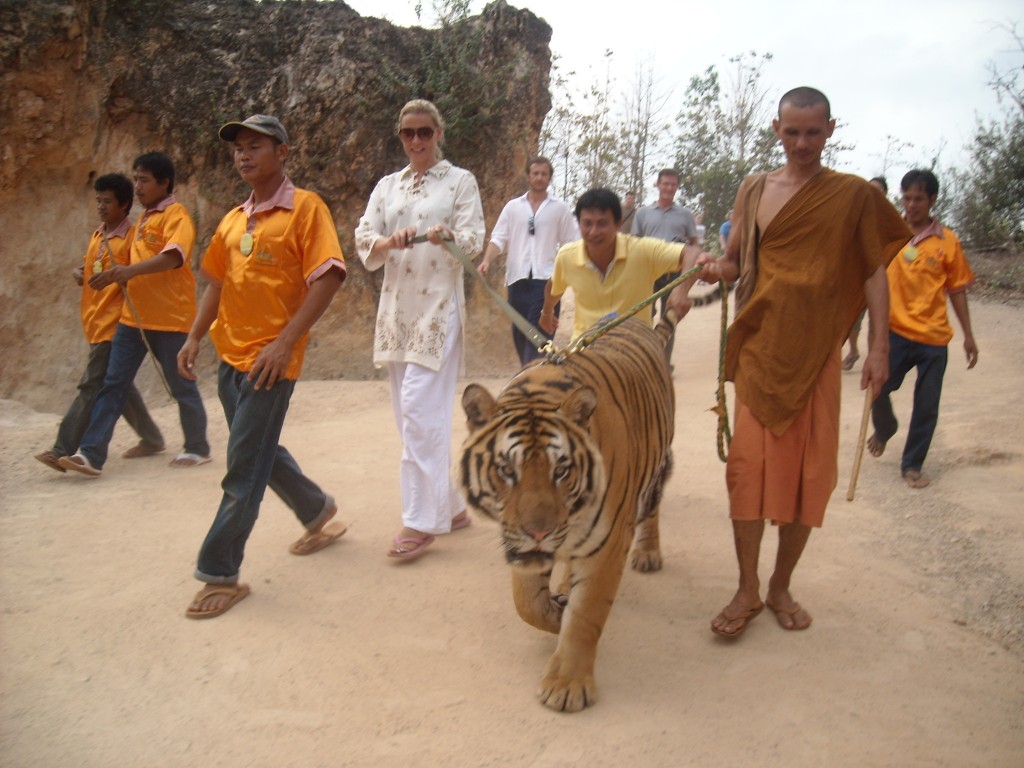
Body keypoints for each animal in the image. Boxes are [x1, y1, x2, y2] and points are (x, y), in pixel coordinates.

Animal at [460, 315, 675, 712]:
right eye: (506, 470)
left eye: (560, 470)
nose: (539, 534)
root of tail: (643, 326)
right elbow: (526, 602)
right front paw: (556, 613)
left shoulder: (608, 542)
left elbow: (586, 614)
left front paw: (566, 685)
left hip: (655, 470)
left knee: (651, 510)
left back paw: (648, 554)